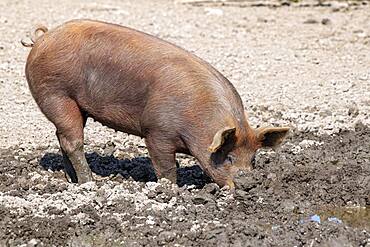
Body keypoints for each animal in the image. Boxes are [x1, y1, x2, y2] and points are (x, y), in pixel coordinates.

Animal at [21, 19, 290, 187]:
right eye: (229, 158)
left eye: (253, 159)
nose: (249, 184)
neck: (197, 122)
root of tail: (44, 38)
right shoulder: (157, 131)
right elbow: (166, 167)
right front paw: (172, 190)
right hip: (55, 94)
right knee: (72, 141)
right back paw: (90, 183)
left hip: (76, 105)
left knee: (62, 138)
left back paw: (72, 180)